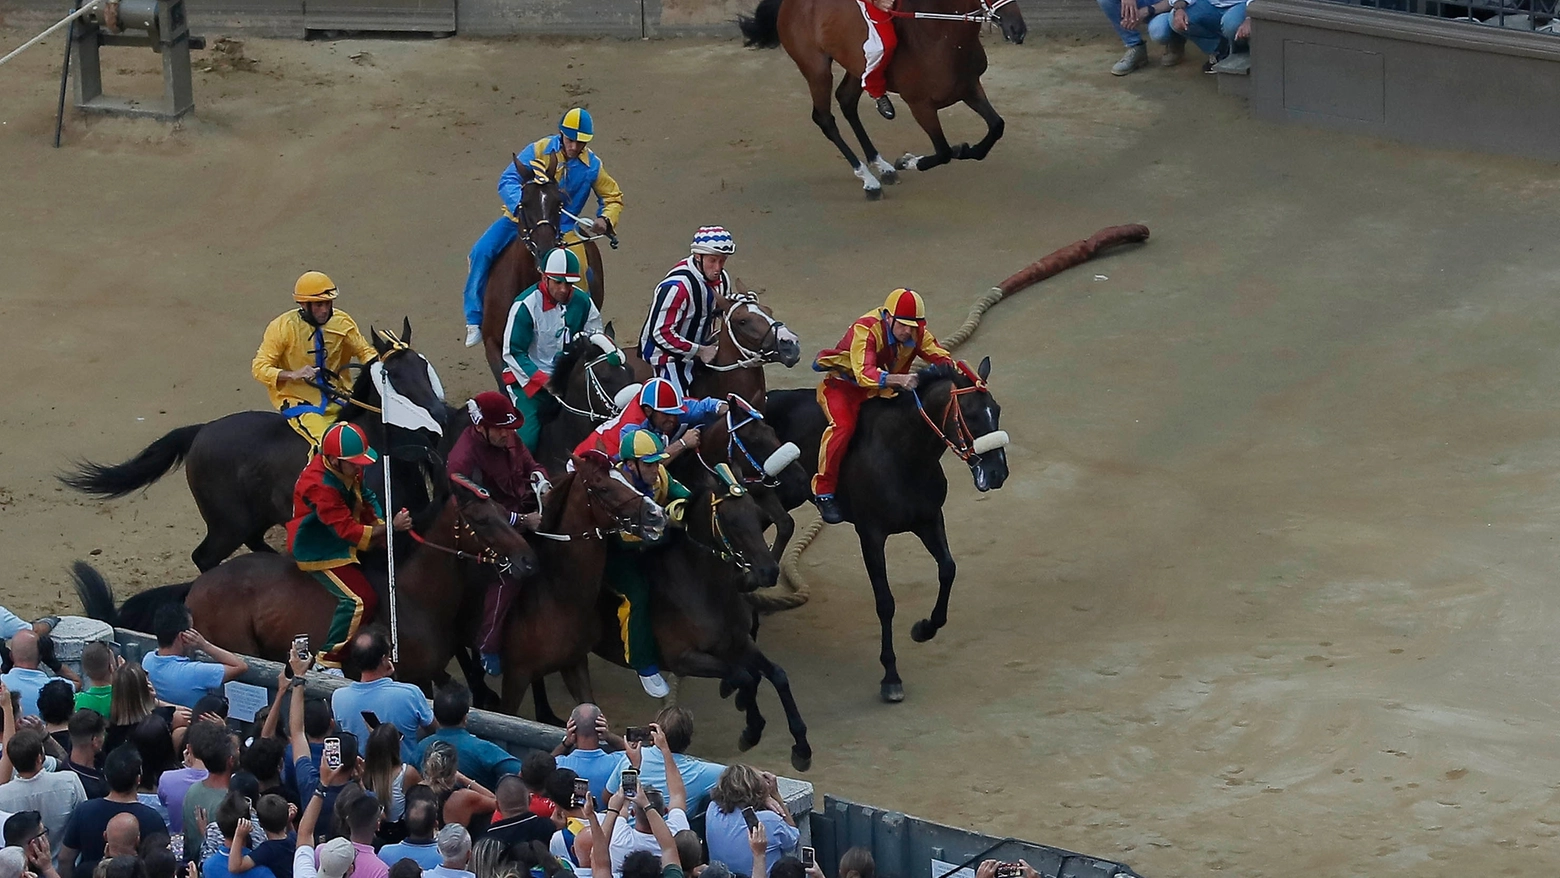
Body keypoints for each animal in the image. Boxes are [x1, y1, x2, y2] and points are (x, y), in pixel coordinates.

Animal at [60, 319, 452, 573]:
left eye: (423, 364)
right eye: (394, 375)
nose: (440, 413)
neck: (383, 460)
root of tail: (201, 431)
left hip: (253, 518)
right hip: (226, 525)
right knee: (204, 558)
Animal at [74, 470, 542, 689]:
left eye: (502, 510)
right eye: (481, 519)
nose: (528, 560)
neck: (411, 595)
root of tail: (199, 587)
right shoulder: (408, 677)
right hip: (241, 650)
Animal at [499, 452, 670, 720]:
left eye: (624, 477)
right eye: (603, 488)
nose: (657, 513)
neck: (557, 596)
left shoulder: (575, 662)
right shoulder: (515, 675)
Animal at [739, 0, 1029, 199]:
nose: (1018, 30)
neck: (939, 35)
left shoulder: (969, 88)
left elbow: (996, 127)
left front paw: (966, 149)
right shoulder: (920, 105)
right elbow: (943, 152)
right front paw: (909, 160)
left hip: (856, 64)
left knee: (847, 101)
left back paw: (882, 165)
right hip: (816, 68)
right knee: (824, 118)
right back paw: (869, 180)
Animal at [767, 357, 1010, 701]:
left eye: (997, 410)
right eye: (972, 414)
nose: (998, 472)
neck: (903, 454)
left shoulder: (929, 519)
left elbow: (948, 569)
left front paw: (925, 628)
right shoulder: (871, 534)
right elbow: (885, 601)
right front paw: (891, 676)